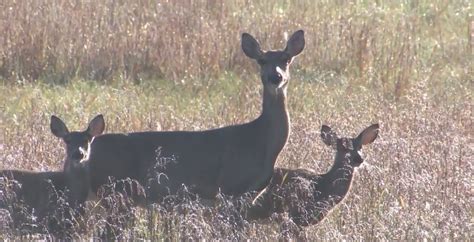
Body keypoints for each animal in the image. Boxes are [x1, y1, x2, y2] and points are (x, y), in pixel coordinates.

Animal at [85, 29, 306, 204]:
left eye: (286, 59)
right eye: (261, 60)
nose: (275, 77)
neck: (261, 141)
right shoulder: (229, 186)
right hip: (114, 189)